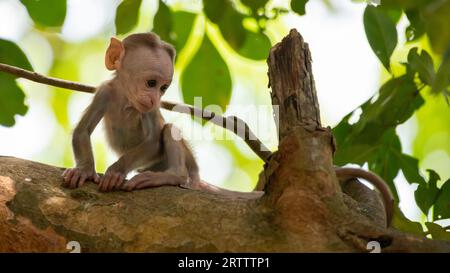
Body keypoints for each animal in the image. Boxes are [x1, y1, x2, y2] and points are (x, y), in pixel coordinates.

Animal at [60, 33, 207, 192]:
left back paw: (173, 175)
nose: (155, 99)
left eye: (163, 88)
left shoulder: (150, 109)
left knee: (169, 129)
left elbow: (154, 142)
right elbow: (82, 130)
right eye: (151, 83)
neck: (126, 101)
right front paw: (84, 170)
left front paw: (116, 171)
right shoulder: (104, 92)